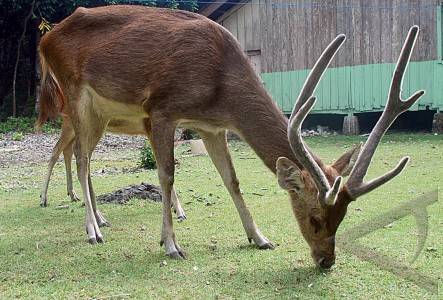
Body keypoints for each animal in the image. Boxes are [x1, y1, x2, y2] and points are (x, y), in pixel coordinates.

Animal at [39, 116, 187, 221]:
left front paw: (177, 209)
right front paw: (180, 212)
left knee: (69, 150)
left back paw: (73, 195)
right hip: (71, 122)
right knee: (57, 150)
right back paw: (43, 199)